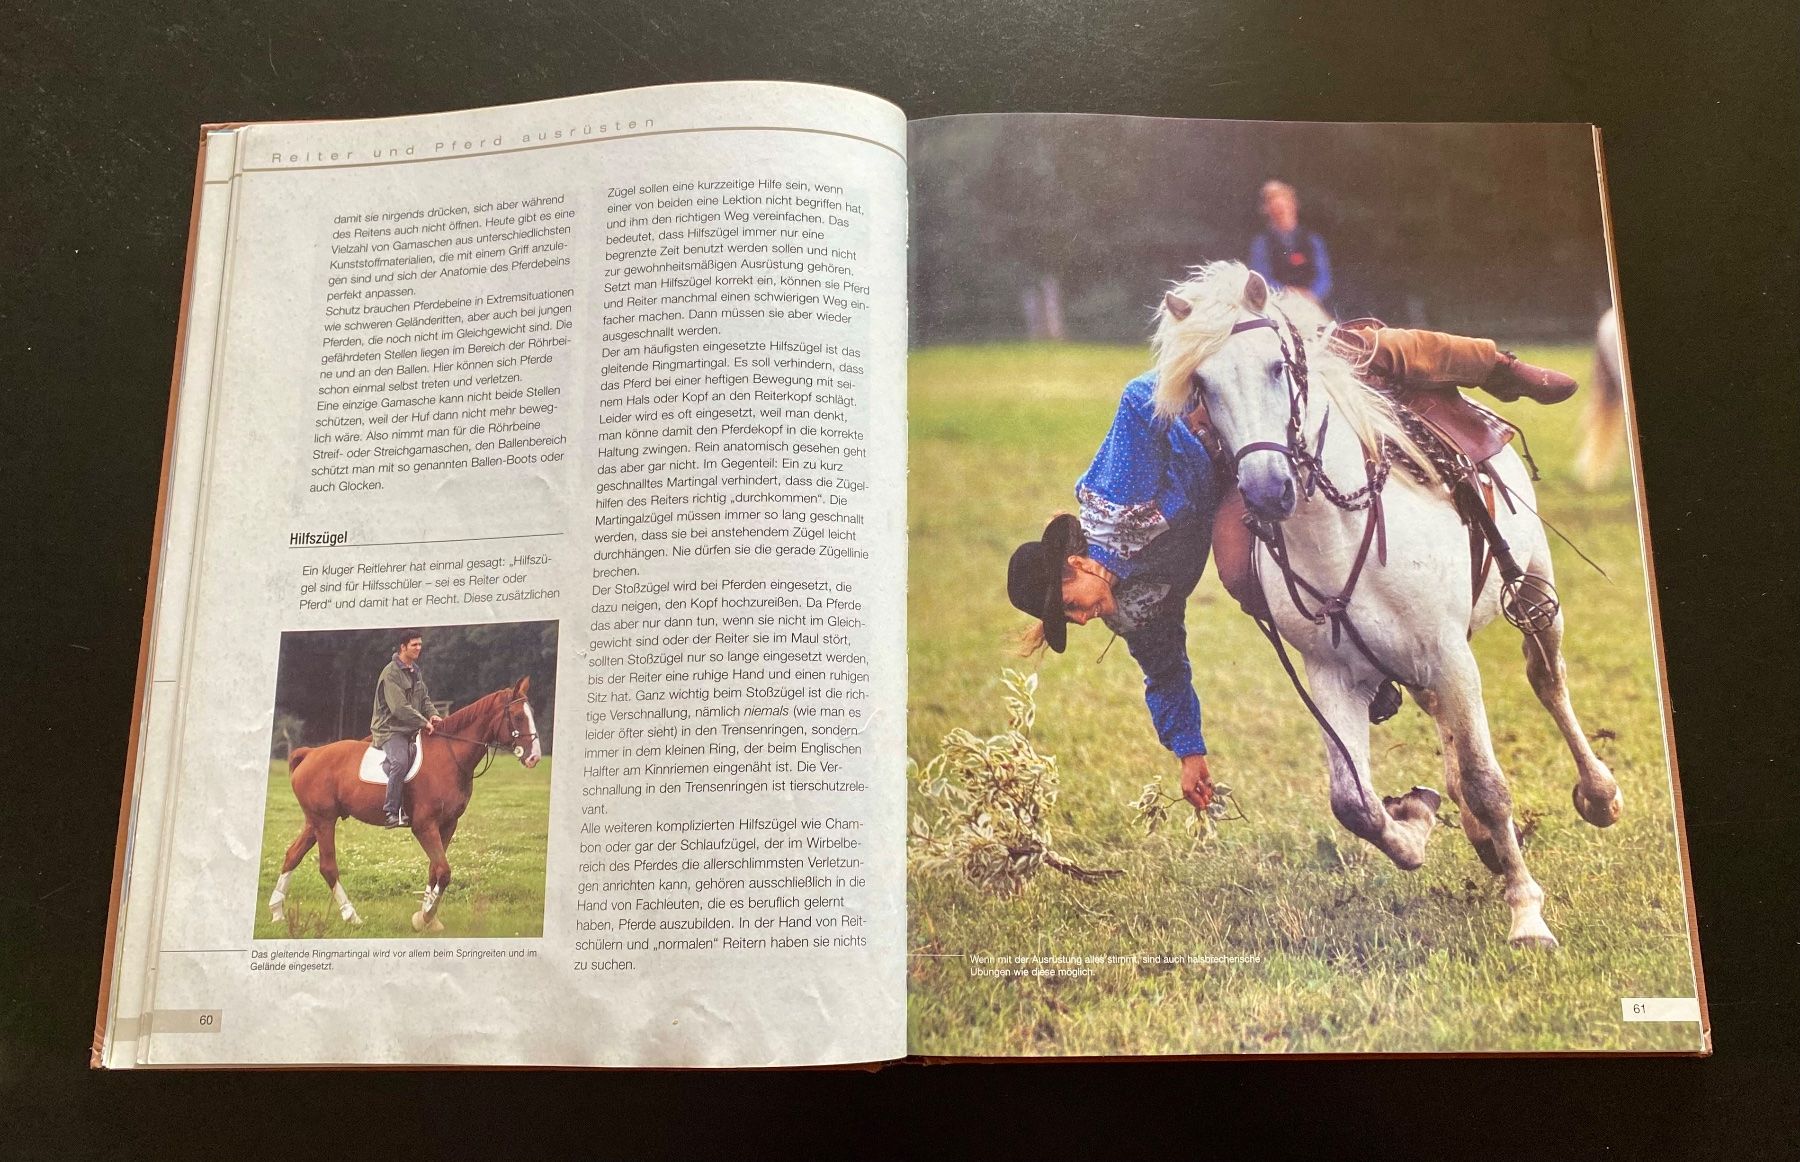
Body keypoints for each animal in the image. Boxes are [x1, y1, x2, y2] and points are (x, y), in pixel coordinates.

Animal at [267, 676, 542, 932]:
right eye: (518, 717)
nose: (534, 757)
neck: (450, 754)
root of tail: (309, 754)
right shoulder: (424, 826)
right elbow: (444, 871)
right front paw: (425, 917)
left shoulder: (448, 825)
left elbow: (435, 870)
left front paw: (428, 918)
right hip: (324, 821)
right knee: (327, 867)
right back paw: (352, 916)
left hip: (315, 822)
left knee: (292, 855)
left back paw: (277, 912)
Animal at [1153, 261, 1622, 948]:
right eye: (1203, 387)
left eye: (1276, 367)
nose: (1266, 490)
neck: (1340, 532)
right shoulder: (1332, 672)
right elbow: (1354, 803)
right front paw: (1416, 822)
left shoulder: (1450, 654)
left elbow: (1486, 782)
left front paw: (1527, 913)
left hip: (1534, 587)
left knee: (1548, 681)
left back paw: (1598, 794)